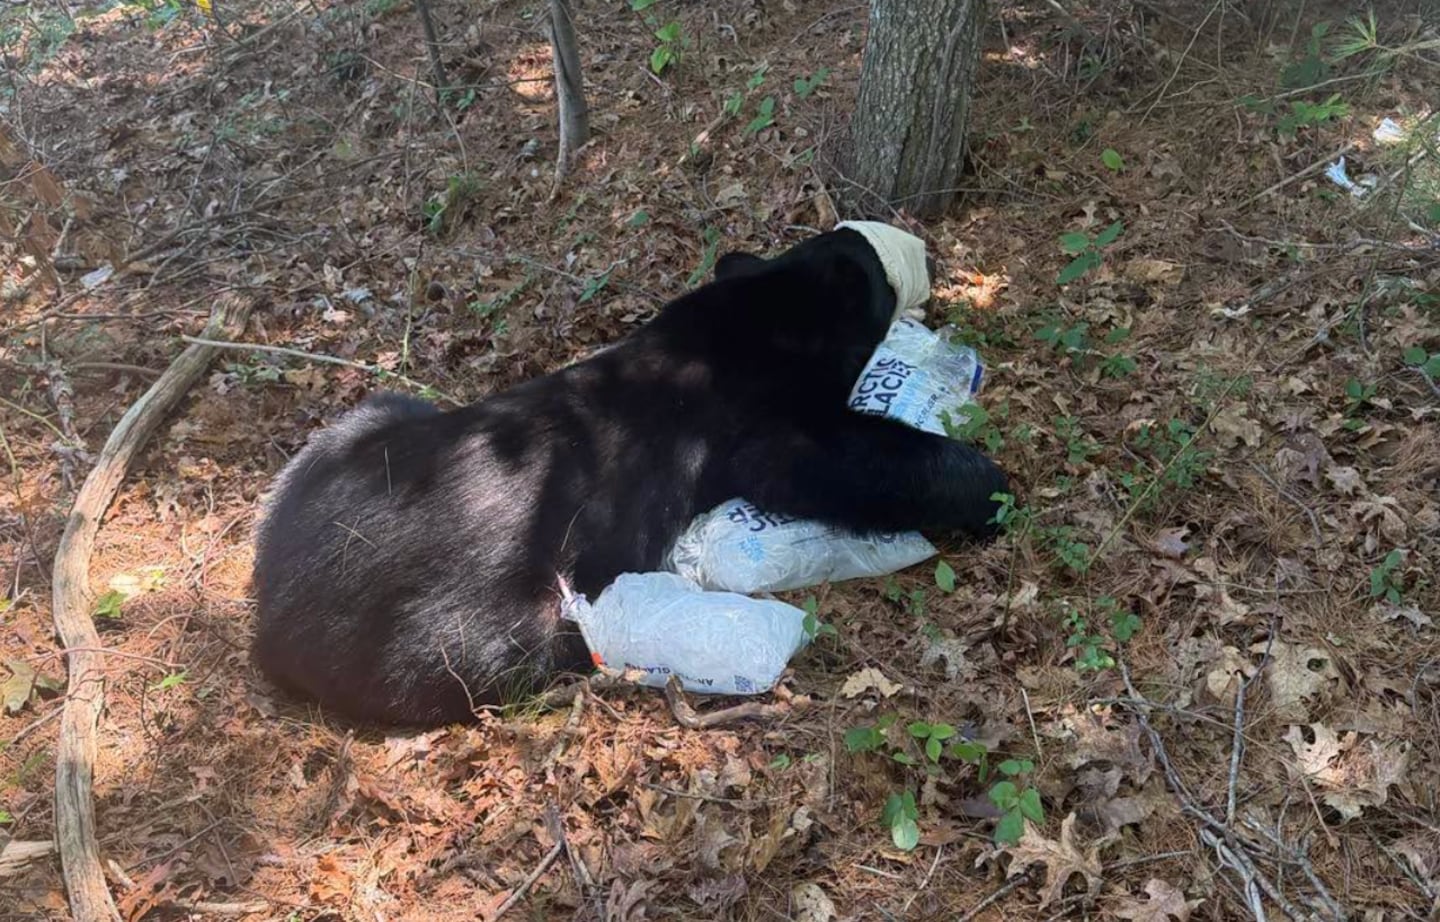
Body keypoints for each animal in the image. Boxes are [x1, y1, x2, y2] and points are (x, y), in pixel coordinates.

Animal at [249, 225, 1010, 726]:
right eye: (881, 273)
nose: (916, 250)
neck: (755, 317)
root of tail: (268, 614)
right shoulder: (761, 421)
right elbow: (840, 459)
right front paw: (990, 488)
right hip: (458, 627)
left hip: (356, 428)